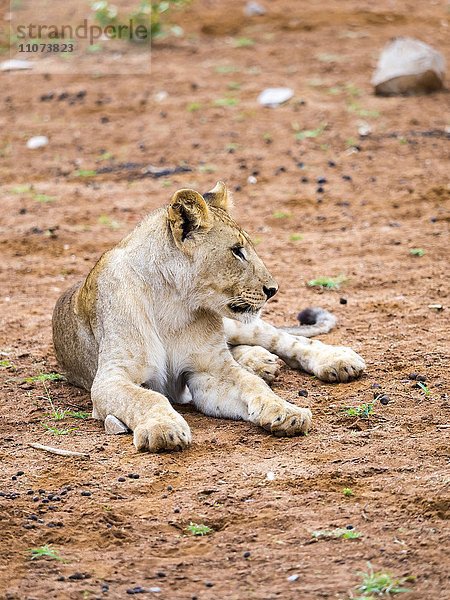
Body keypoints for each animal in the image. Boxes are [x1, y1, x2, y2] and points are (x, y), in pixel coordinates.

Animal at [51, 180, 366, 452]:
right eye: (237, 251)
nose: (273, 289)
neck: (173, 302)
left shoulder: (210, 369)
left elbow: (252, 384)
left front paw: (286, 412)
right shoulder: (110, 379)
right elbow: (146, 397)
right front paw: (163, 429)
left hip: (240, 325)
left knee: (287, 340)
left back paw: (335, 360)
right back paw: (260, 362)